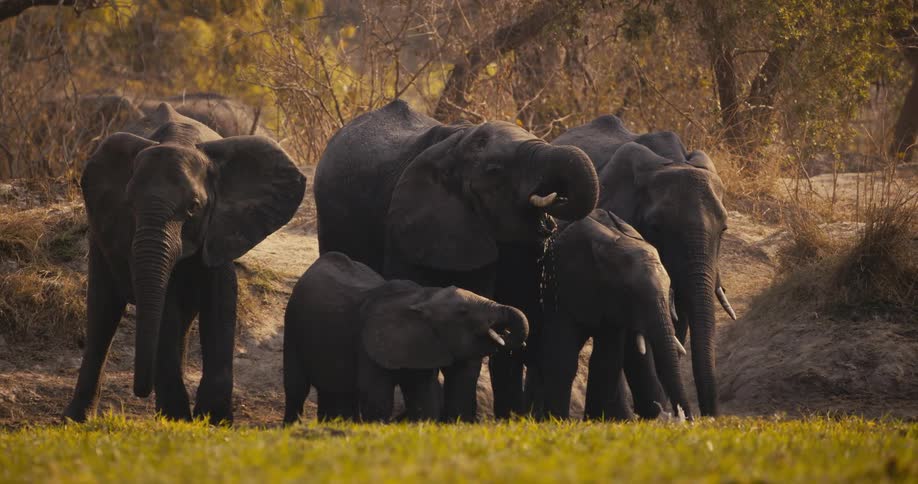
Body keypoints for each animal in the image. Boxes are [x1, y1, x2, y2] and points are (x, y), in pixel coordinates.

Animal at [62, 103, 306, 424]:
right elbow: (167, 308)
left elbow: (221, 300)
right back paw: (76, 419)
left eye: (193, 207)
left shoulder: (221, 226)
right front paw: (181, 419)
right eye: (129, 204)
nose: (140, 391)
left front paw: (215, 420)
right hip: (100, 233)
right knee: (103, 312)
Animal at [283, 252, 529, 424]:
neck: (422, 297)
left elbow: (424, 397)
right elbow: (377, 397)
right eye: (463, 312)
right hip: (292, 323)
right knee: (296, 387)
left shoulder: (423, 343)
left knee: (338, 394)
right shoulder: (368, 344)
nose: (504, 335)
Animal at [530, 209, 691, 420]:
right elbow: (560, 356)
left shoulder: (612, 305)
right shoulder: (558, 284)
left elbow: (607, 358)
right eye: (629, 291)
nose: (686, 419)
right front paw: (558, 421)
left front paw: (595, 420)